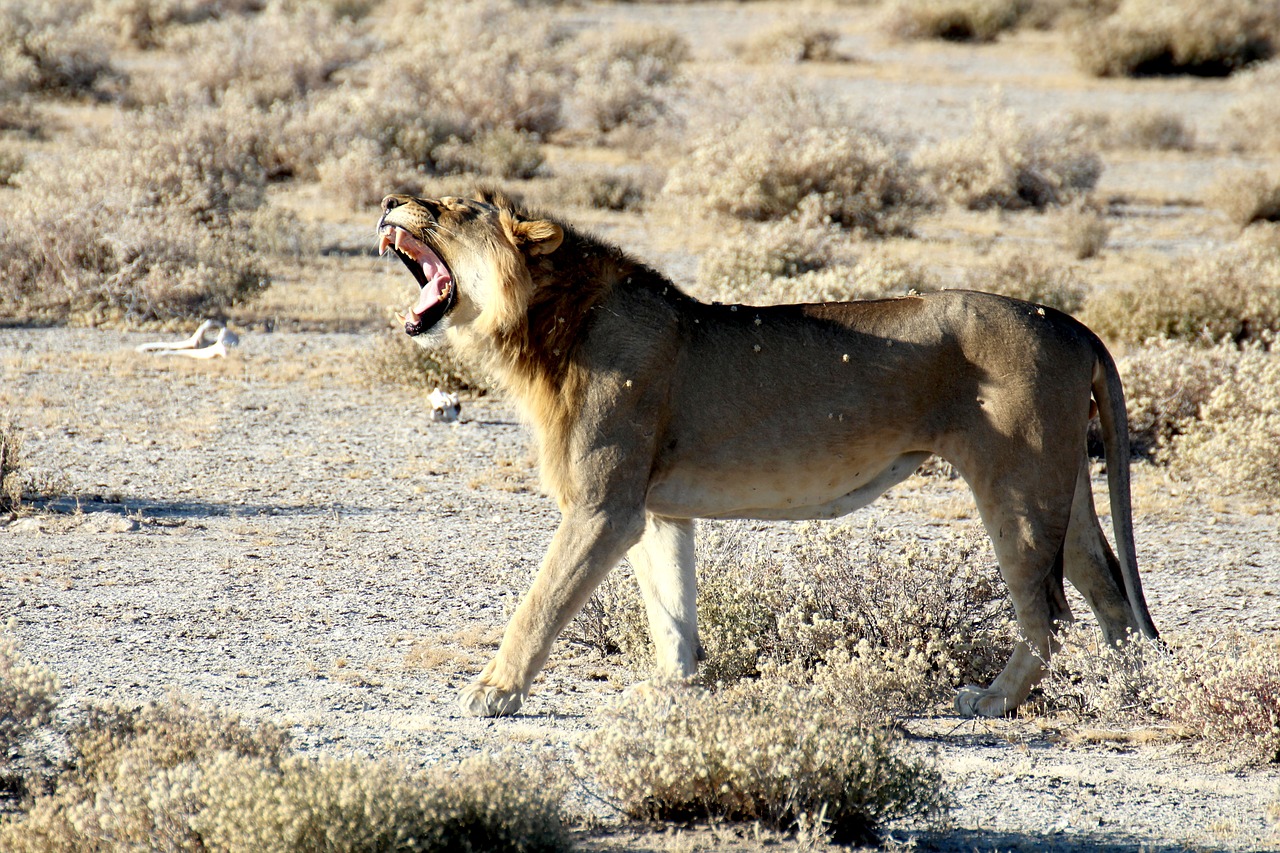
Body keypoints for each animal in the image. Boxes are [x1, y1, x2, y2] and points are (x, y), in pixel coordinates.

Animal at [373, 189, 1162, 712]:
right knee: (1109, 592)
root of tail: (1073, 325)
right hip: (1064, 483)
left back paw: (989, 701)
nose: (389, 200)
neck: (544, 327)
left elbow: (540, 603)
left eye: (450, 206)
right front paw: (673, 690)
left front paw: (493, 690)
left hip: (1015, 487)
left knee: (1051, 615)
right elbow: (670, 609)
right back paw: (1137, 692)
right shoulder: (655, 511)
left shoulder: (601, 507)